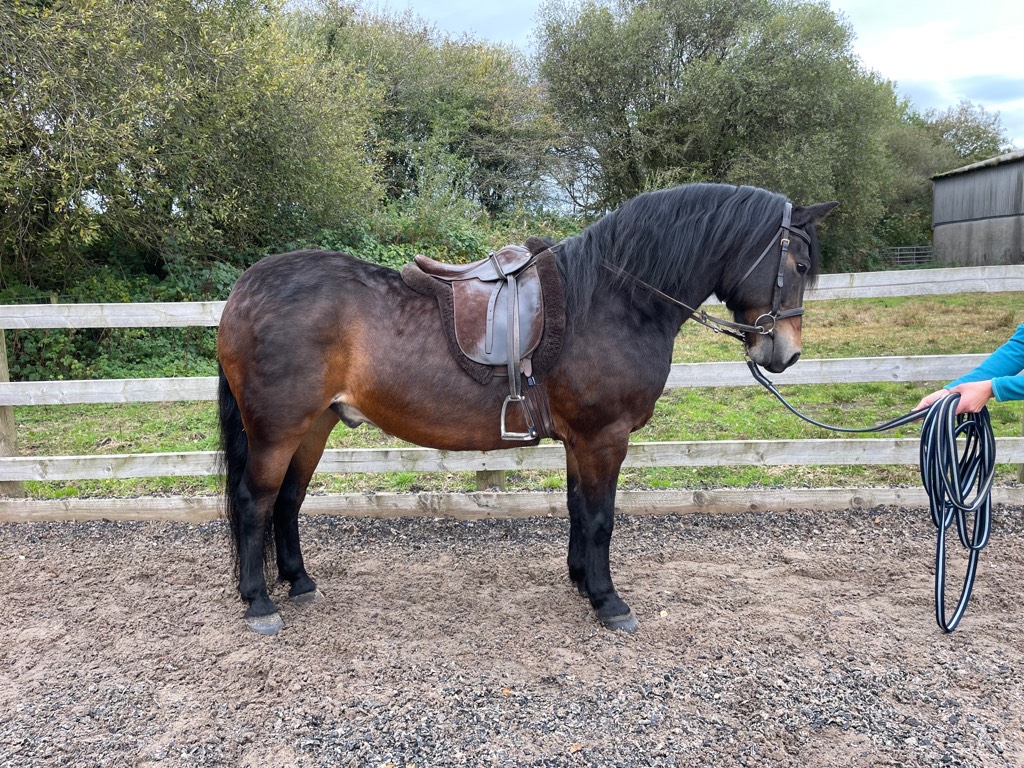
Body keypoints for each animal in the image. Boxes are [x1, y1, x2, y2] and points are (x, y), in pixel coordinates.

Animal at [217, 182, 838, 635]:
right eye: (800, 266)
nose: (785, 353)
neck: (613, 300)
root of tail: (245, 291)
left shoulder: (581, 440)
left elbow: (578, 510)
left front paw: (582, 581)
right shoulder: (604, 436)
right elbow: (601, 517)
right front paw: (609, 601)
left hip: (314, 426)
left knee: (288, 502)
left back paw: (299, 583)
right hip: (277, 429)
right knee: (255, 502)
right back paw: (260, 603)